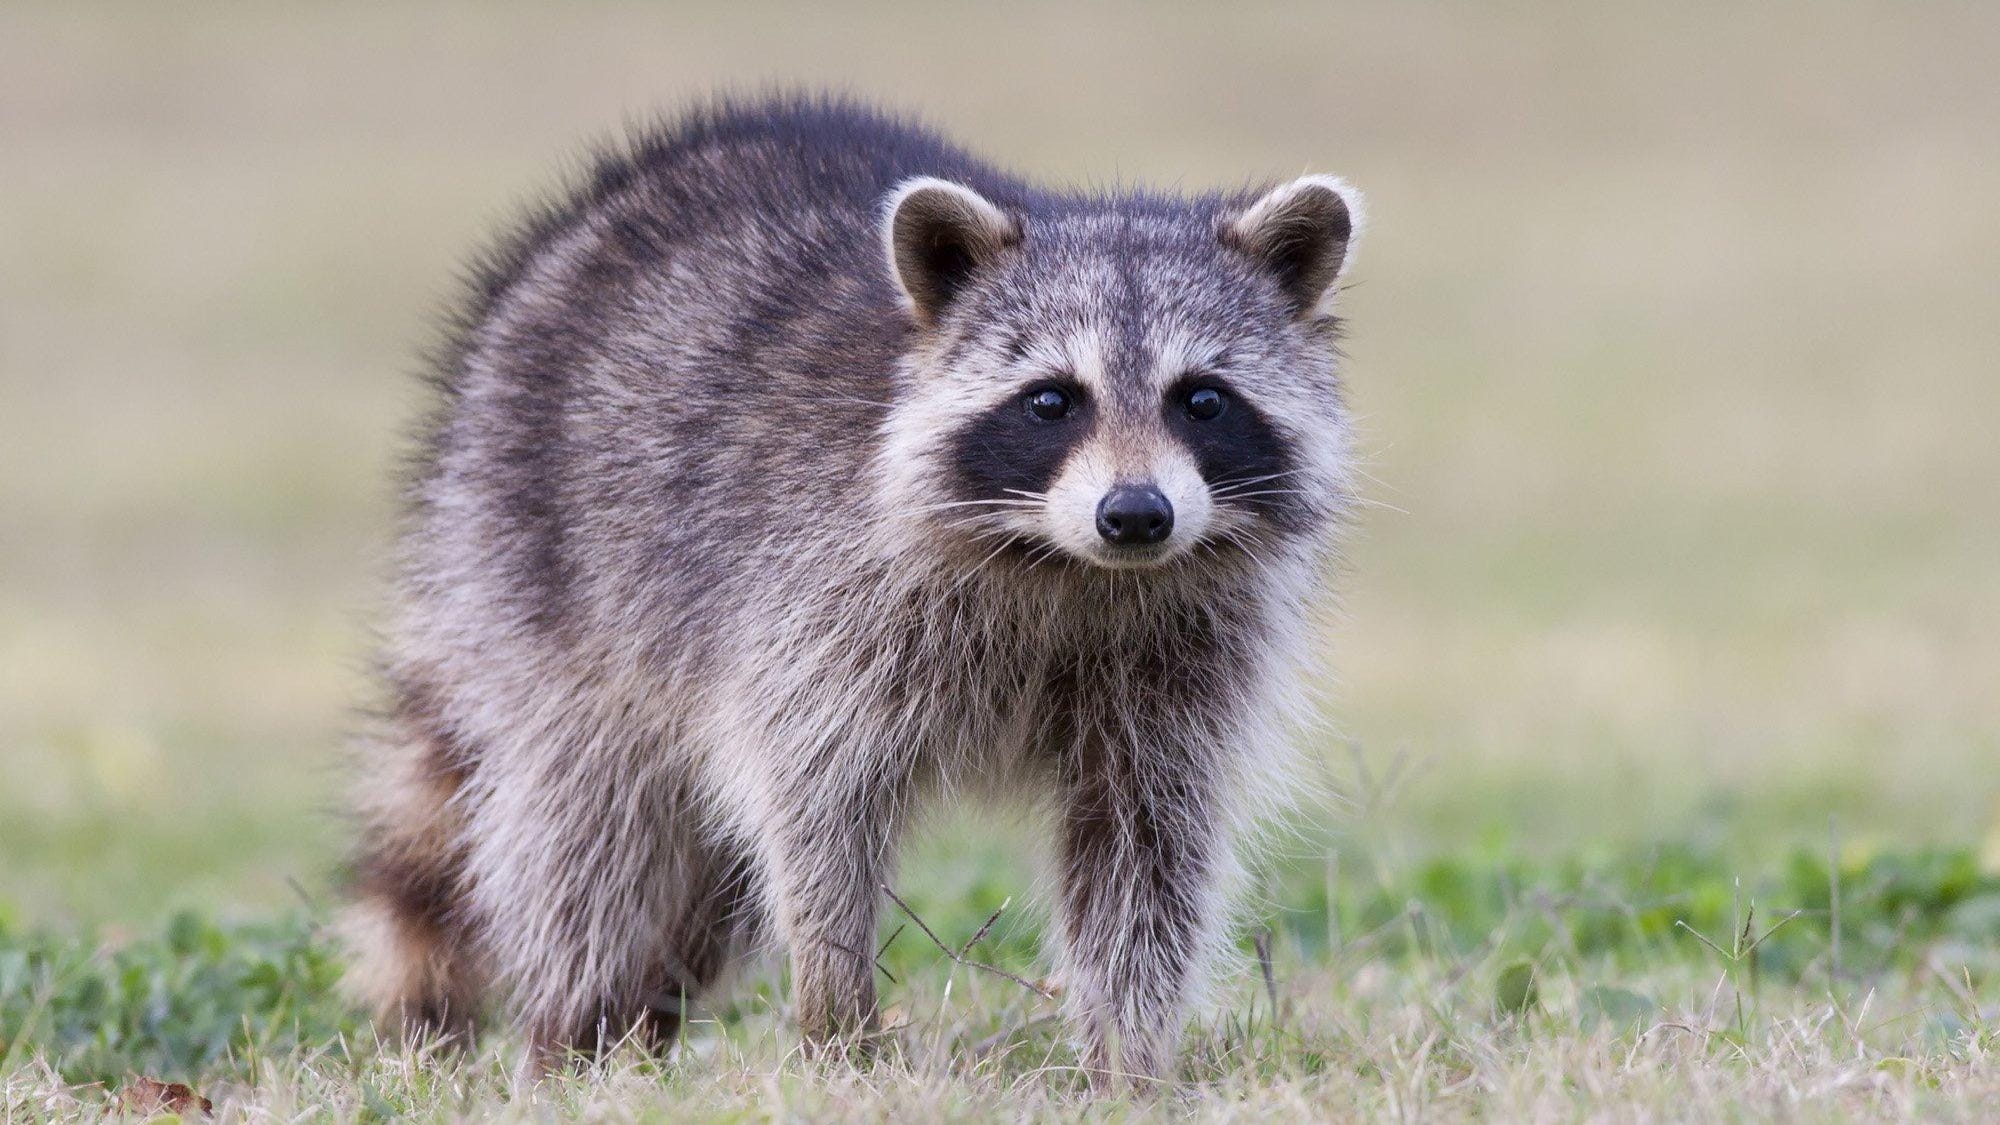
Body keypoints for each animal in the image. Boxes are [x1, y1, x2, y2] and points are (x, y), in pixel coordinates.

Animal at [344, 96, 1363, 1083]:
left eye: (1203, 399)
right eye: (1051, 400)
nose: (1138, 514)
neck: (1066, 565)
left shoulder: (1185, 661)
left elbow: (1143, 849)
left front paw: (1130, 1058)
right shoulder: (815, 600)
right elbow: (812, 807)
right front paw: (839, 1021)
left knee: (698, 893)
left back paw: (639, 1030)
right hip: (540, 571)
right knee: (592, 835)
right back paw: (574, 1034)